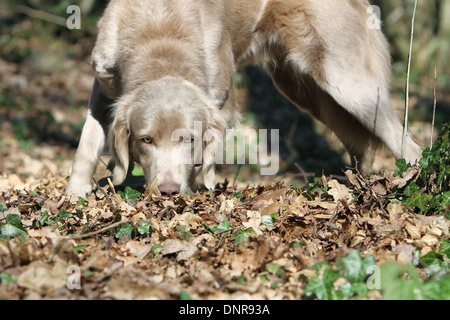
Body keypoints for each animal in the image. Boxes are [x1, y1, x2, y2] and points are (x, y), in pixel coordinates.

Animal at [66, 0, 422, 196]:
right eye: (146, 140)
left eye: (188, 139)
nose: (168, 191)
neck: (160, 36)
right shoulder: (103, 85)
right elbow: (86, 145)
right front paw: (75, 195)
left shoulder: (222, 102)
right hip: (308, 91)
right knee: (362, 145)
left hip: (347, 84)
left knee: (408, 145)